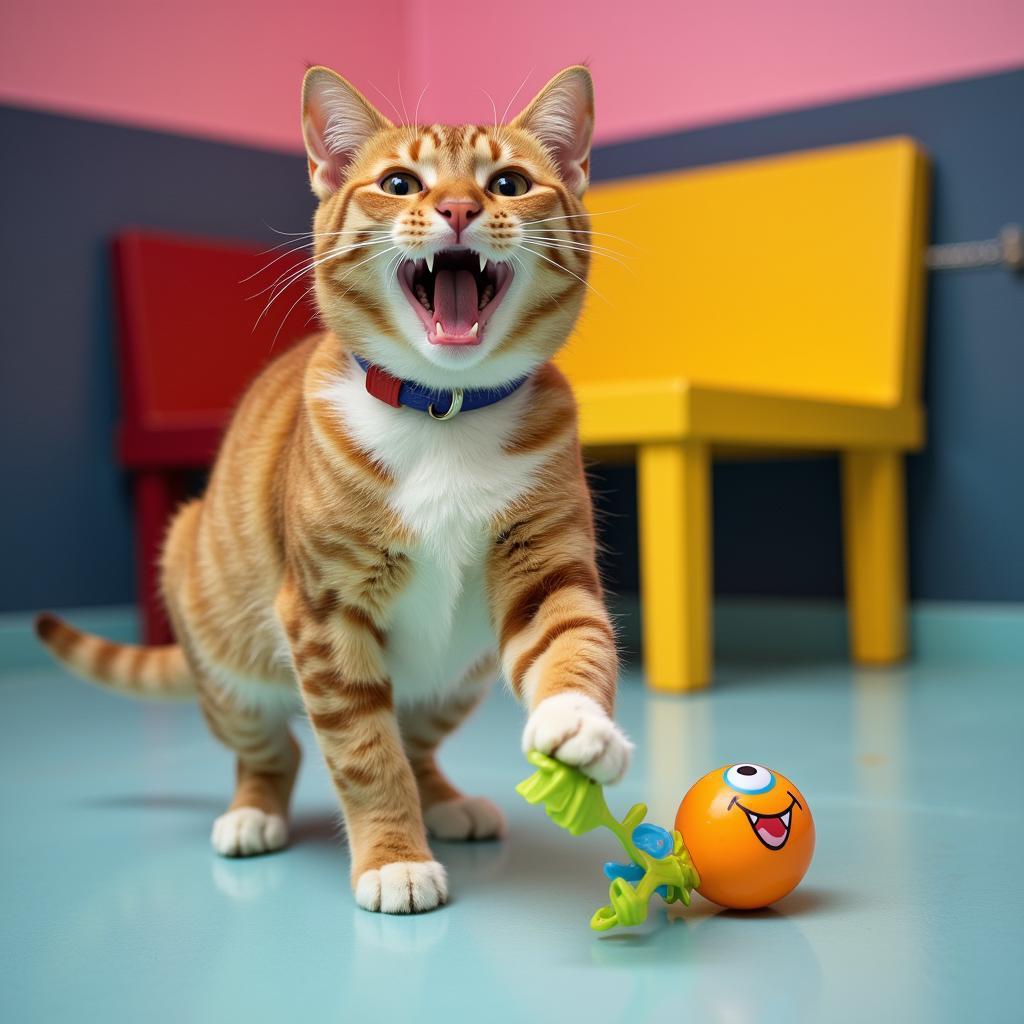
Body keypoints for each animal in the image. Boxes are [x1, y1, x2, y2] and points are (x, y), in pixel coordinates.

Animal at [37, 61, 630, 913]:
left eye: (510, 183)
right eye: (400, 182)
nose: (457, 208)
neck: (443, 412)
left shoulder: (546, 565)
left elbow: (572, 639)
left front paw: (581, 723)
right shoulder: (323, 611)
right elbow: (363, 753)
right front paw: (393, 857)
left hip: (458, 678)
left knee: (416, 741)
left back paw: (447, 801)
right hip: (223, 646)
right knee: (274, 751)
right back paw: (253, 814)